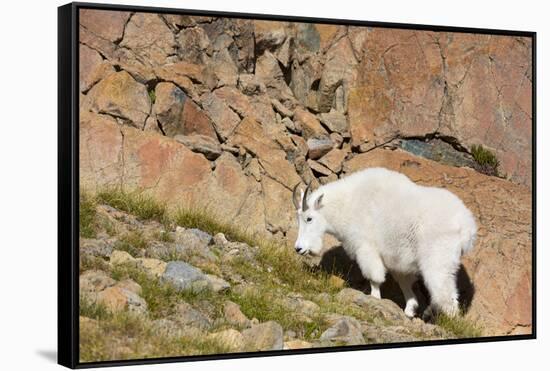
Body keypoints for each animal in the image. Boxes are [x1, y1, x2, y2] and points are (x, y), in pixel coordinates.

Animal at [294, 167, 478, 318]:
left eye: (309, 218)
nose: (299, 248)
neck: (348, 203)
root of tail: (467, 227)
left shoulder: (366, 248)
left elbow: (374, 277)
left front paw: (374, 299)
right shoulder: (397, 261)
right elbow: (404, 284)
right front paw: (410, 310)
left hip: (438, 261)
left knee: (446, 297)